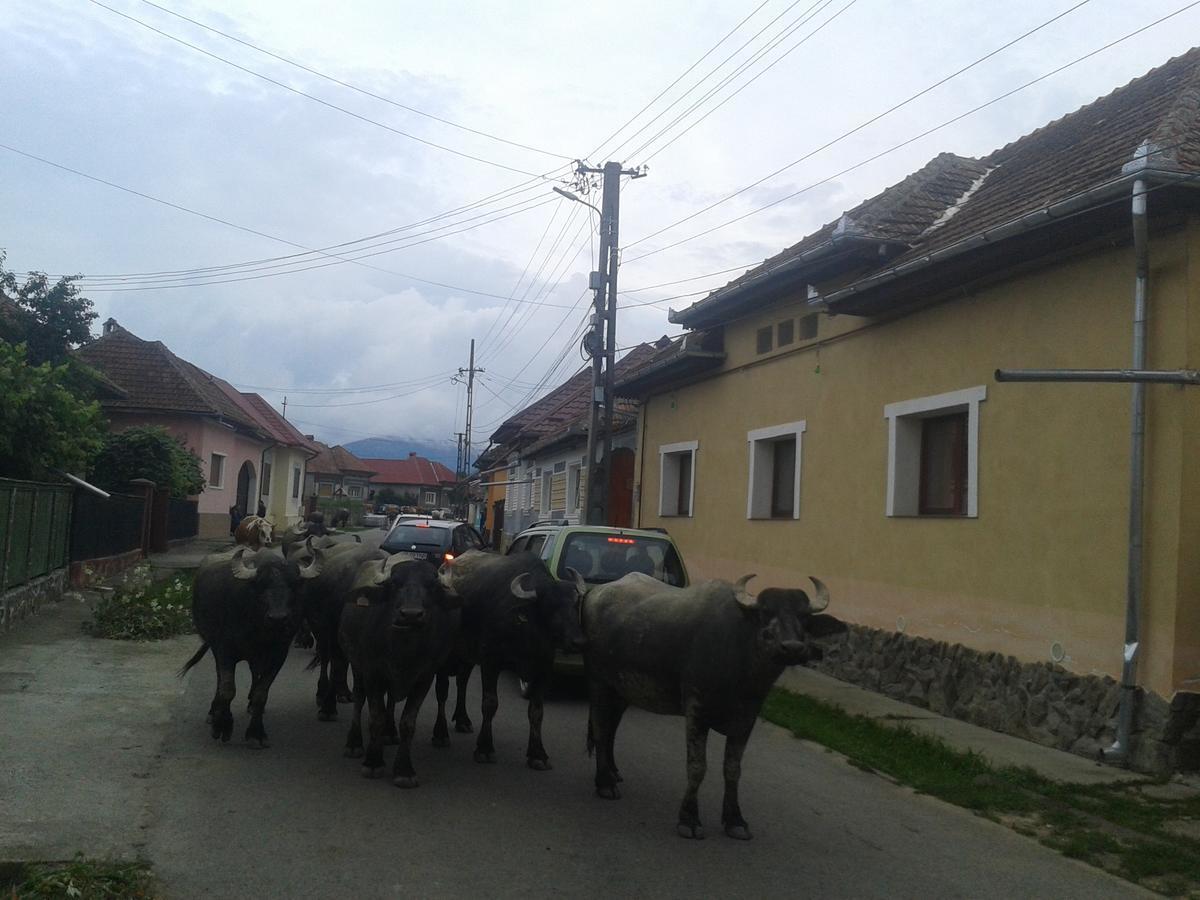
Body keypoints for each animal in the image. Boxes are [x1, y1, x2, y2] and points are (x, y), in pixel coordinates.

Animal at [177, 549, 316, 748]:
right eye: (261, 585)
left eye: (293, 585)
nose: (278, 617)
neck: (258, 631)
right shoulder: (224, 651)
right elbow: (227, 689)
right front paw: (222, 725)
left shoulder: (278, 655)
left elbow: (261, 694)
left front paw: (256, 732)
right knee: (220, 679)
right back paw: (214, 711)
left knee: (253, 673)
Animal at [345, 556, 465, 787]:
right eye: (394, 584)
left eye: (432, 586)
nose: (411, 615)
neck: (403, 650)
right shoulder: (372, 673)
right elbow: (376, 717)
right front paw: (373, 762)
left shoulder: (424, 678)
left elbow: (408, 723)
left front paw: (404, 770)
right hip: (356, 666)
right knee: (358, 699)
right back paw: (354, 743)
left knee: (392, 701)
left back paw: (391, 733)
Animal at [432, 554, 585, 772]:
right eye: (550, 606)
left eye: (574, 605)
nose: (577, 641)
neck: (526, 632)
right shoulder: (490, 661)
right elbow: (490, 703)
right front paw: (485, 748)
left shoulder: (544, 669)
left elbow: (537, 711)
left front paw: (538, 754)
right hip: (447, 656)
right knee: (442, 691)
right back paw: (440, 733)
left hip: (468, 655)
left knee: (462, 682)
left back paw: (462, 720)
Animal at [580, 573, 844, 844]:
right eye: (765, 612)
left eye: (804, 616)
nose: (791, 648)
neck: (741, 666)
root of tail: (595, 592)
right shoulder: (697, 710)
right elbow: (697, 767)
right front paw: (689, 819)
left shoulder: (746, 718)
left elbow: (733, 769)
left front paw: (735, 820)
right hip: (598, 680)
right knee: (600, 728)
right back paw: (605, 783)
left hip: (622, 689)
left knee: (611, 729)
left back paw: (613, 772)